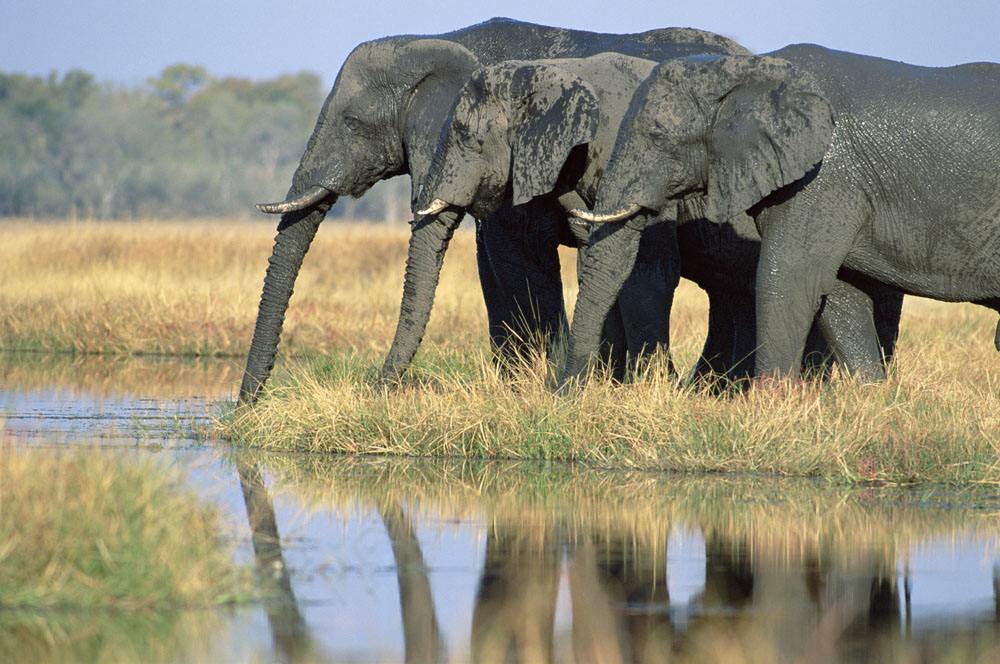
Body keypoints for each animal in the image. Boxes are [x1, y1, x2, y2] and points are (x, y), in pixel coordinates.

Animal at [236, 16, 752, 404]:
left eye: (351, 122)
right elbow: (495, 267)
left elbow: (519, 262)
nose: (243, 410)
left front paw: (542, 385)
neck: (438, 42)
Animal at [418, 55, 904, 390]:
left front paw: (647, 386)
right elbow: (605, 265)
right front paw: (615, 383)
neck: (555, 68)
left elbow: (646, 272)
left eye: (467, 138)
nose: (395, 383)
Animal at [564, 44, 1000, 382]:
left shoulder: (824, 179)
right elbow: (839, 294)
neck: (747, 71)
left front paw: (769, 404)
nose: (566, 394)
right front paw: (873, 399)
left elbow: (787, 279)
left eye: (657, 137)